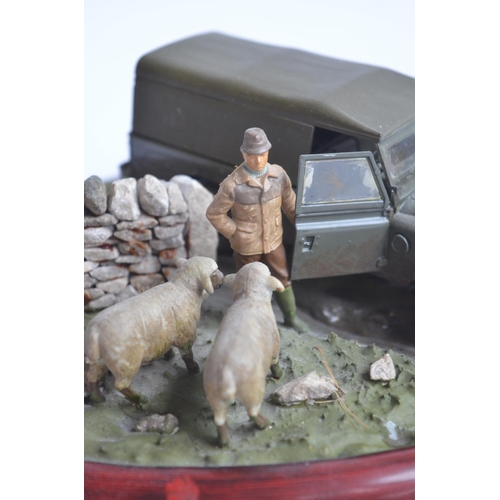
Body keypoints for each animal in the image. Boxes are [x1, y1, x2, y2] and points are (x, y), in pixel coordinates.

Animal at [84, 258, 223, 406]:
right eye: (214, 272)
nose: (224, 277)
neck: (183, 288)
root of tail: (95, 332)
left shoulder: (164, 334)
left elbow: (167, 347)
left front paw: (169, 356)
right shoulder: (185, 336)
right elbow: (188, 356)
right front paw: (194, 369)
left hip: (99, 360)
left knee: (92, 377)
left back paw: (98, 398)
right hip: (126, 363)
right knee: (121, 385)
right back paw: (140, 399)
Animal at [201, 262, 284, 446]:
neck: (249, 297)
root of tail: (227, 375)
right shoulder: (275, 346)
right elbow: (275, 362)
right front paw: (279, 374)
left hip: (214, 395)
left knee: (219, 420)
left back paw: (224, 442)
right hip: (253, 390)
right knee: (252, 411)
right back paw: (265, 424)